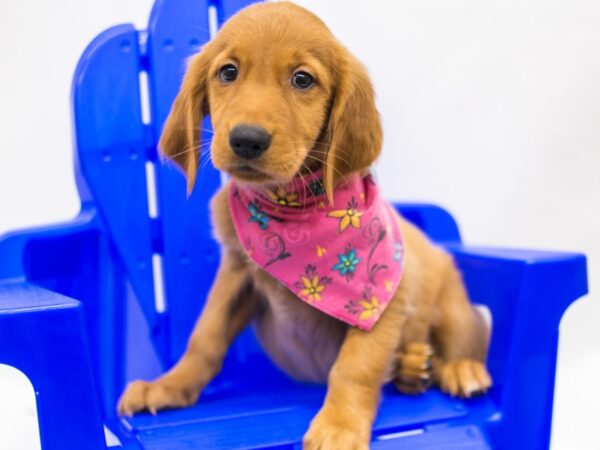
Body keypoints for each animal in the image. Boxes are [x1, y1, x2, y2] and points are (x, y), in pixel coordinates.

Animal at [117, 2, 492, 446]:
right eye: (228, 72)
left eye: (302, 79)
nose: (247, 139)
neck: (292, 209)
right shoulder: (237, 274)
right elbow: (205, 338)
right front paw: (169, 386)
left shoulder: (383, 298)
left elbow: (356, 365)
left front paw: (339, 426)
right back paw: (413, 367)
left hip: (450, 302)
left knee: (466, 337)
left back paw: (458, 369)